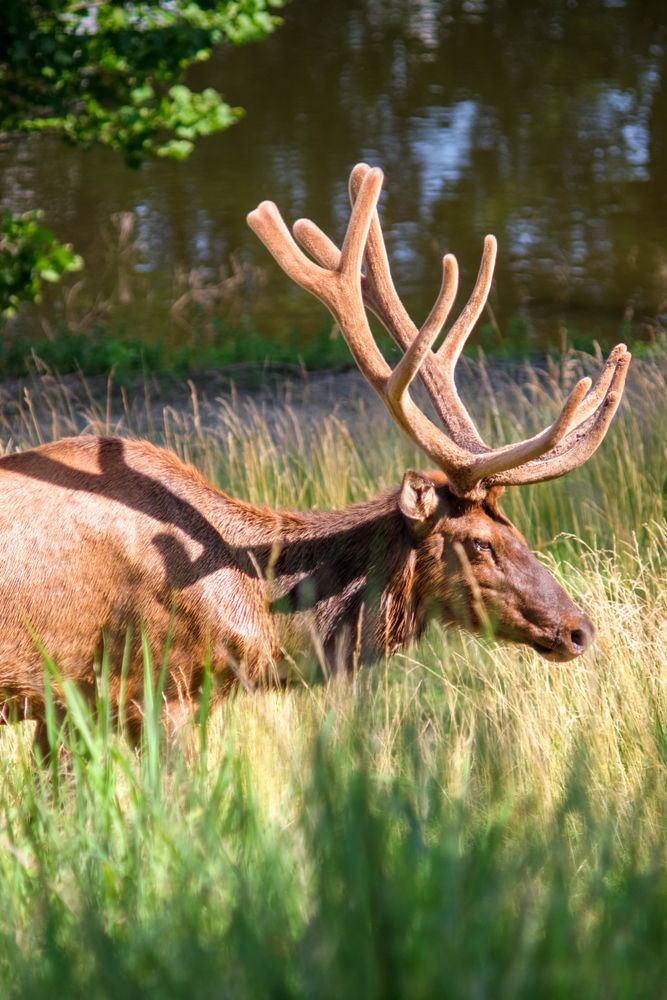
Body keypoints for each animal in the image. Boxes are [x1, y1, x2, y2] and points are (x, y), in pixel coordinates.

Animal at [0, 164, 629, 754]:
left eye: (517, 529)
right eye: (479, 543)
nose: (579, 630)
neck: (252, 610)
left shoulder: (67, 706)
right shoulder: (153, 684)